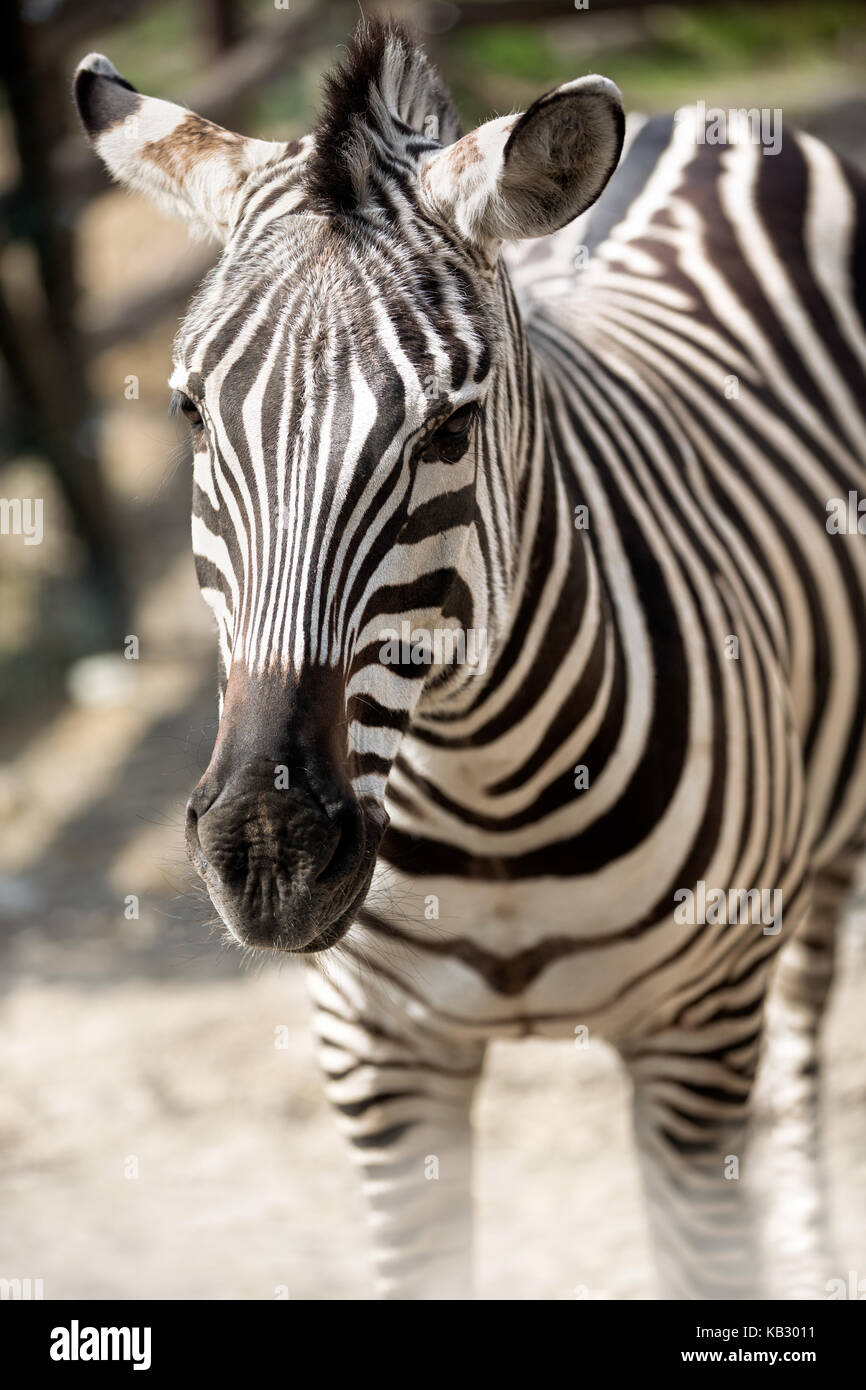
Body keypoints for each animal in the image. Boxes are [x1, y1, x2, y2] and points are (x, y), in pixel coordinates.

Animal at [74, 18, 866, 1300]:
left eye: (446, 427)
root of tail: (701, 122)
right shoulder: (377, 1055)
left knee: (802, 1042)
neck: (485, 793)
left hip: (817, 859)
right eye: (192, 413)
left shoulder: (695, 1034)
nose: (266, 851)